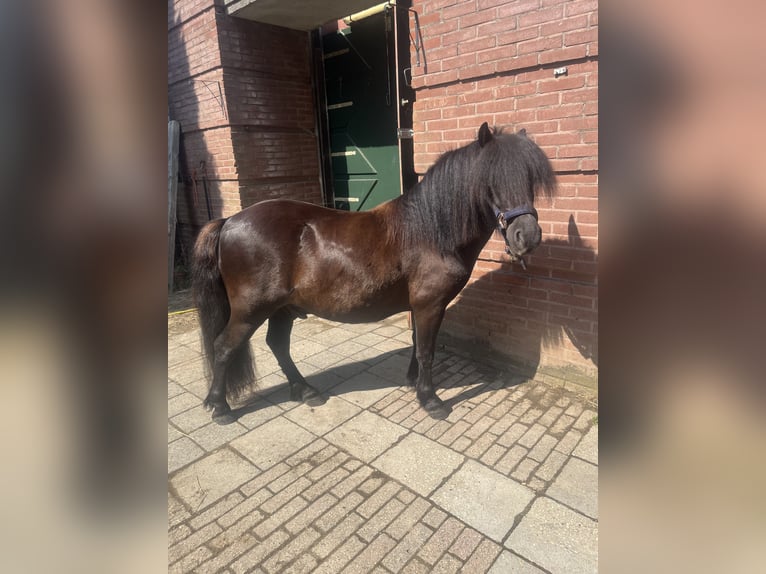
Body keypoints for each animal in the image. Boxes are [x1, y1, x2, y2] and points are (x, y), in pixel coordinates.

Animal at [191, 123, 556, 424]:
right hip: (251, 310)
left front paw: (413, 383)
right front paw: (430, 400)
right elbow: (426, 350)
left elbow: (417, 343)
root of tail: (229, 221)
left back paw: (305, 390)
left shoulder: (420, 306)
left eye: (529, 179)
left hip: (282, 308)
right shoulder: (430, 304)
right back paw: (220, 407)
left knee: (277, 345)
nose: (527, 236)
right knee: (224, 347)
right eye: (490, 180)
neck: (431, 231)